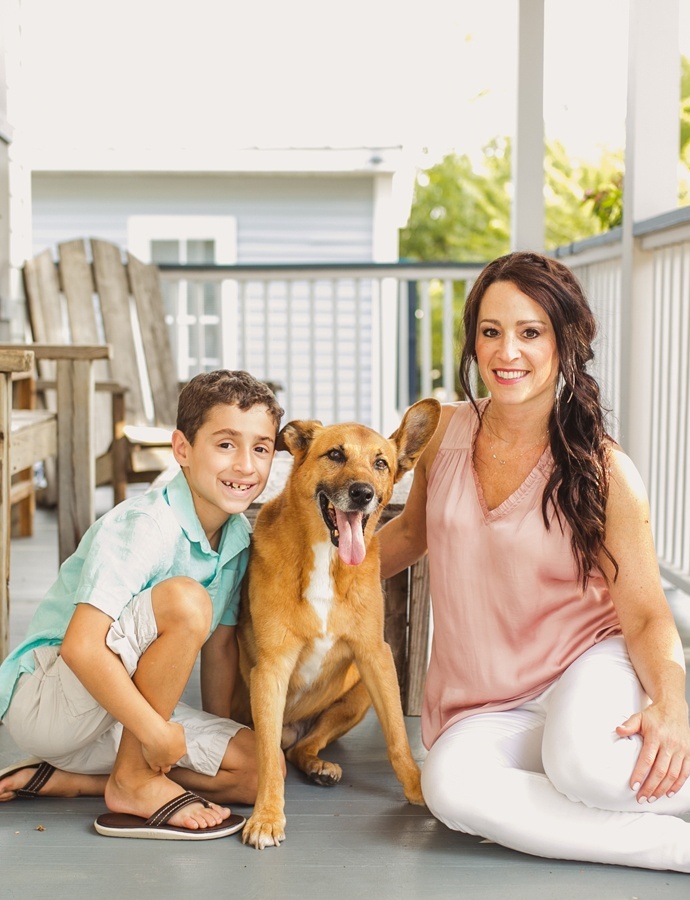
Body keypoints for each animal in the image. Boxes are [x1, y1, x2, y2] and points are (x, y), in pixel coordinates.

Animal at [236, 398, 441, 849]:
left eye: (381, 463)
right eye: (335, 454)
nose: (363, 494)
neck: (326, 559)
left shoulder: (376, 656)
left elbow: (398, 737)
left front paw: (418, 788)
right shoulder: (271, 668)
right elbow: (266, 758)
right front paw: (267, 817)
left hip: (358, 692)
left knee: (303, 748)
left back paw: (318, 766)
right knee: (280, 750)